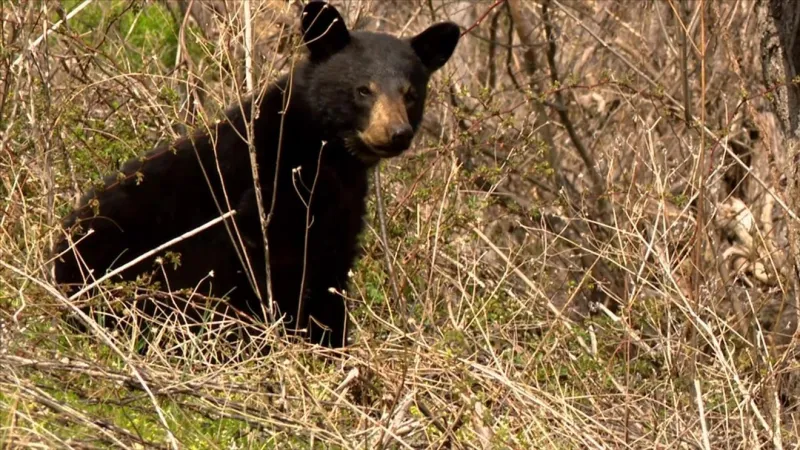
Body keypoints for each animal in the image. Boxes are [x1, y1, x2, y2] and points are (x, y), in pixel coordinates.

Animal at [52, 1, 461, 349]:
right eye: (363, 90)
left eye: (410, 93)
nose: (397, 133)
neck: (323, 150)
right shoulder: (268, 189)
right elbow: (281, 268)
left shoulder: (339, 210)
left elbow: (330, 269)